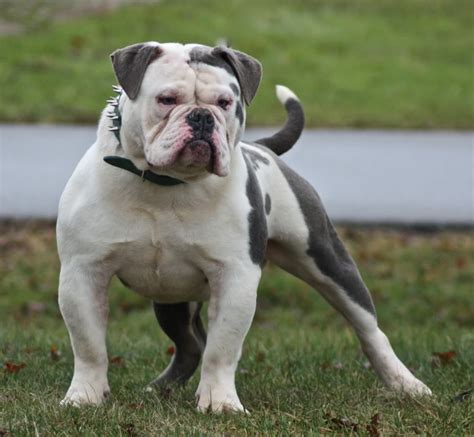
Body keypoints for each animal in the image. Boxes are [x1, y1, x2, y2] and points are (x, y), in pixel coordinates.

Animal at [57, 41, 432, 412]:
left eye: (225, 103)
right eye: (167, 99)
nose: (201, 116)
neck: (167, 184)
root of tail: (261, 147)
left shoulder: (234, 276)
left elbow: (223, 347)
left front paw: (219, 402)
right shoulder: (83, 272)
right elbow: (89, 345)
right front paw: (85, 397)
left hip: (327, 261)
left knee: (368, 329)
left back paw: (406, 384)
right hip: (171, 297)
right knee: (190, 344)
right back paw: (161, 388)